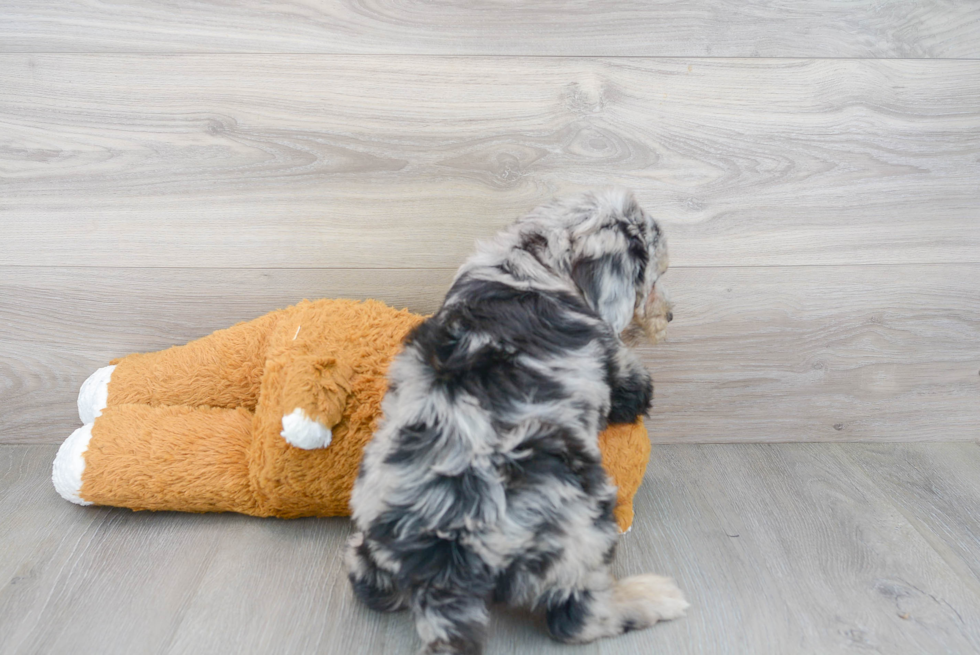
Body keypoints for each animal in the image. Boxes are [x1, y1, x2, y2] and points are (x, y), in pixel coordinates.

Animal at [348, 190, 684, 655]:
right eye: (652, 277)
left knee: (368, 586)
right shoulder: (610, 358)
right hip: (582, 516)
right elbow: (631, 380)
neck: (531, 258)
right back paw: (649, 596)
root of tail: (444, 564)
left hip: (369, 534)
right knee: (576, 616)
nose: (669, 317)